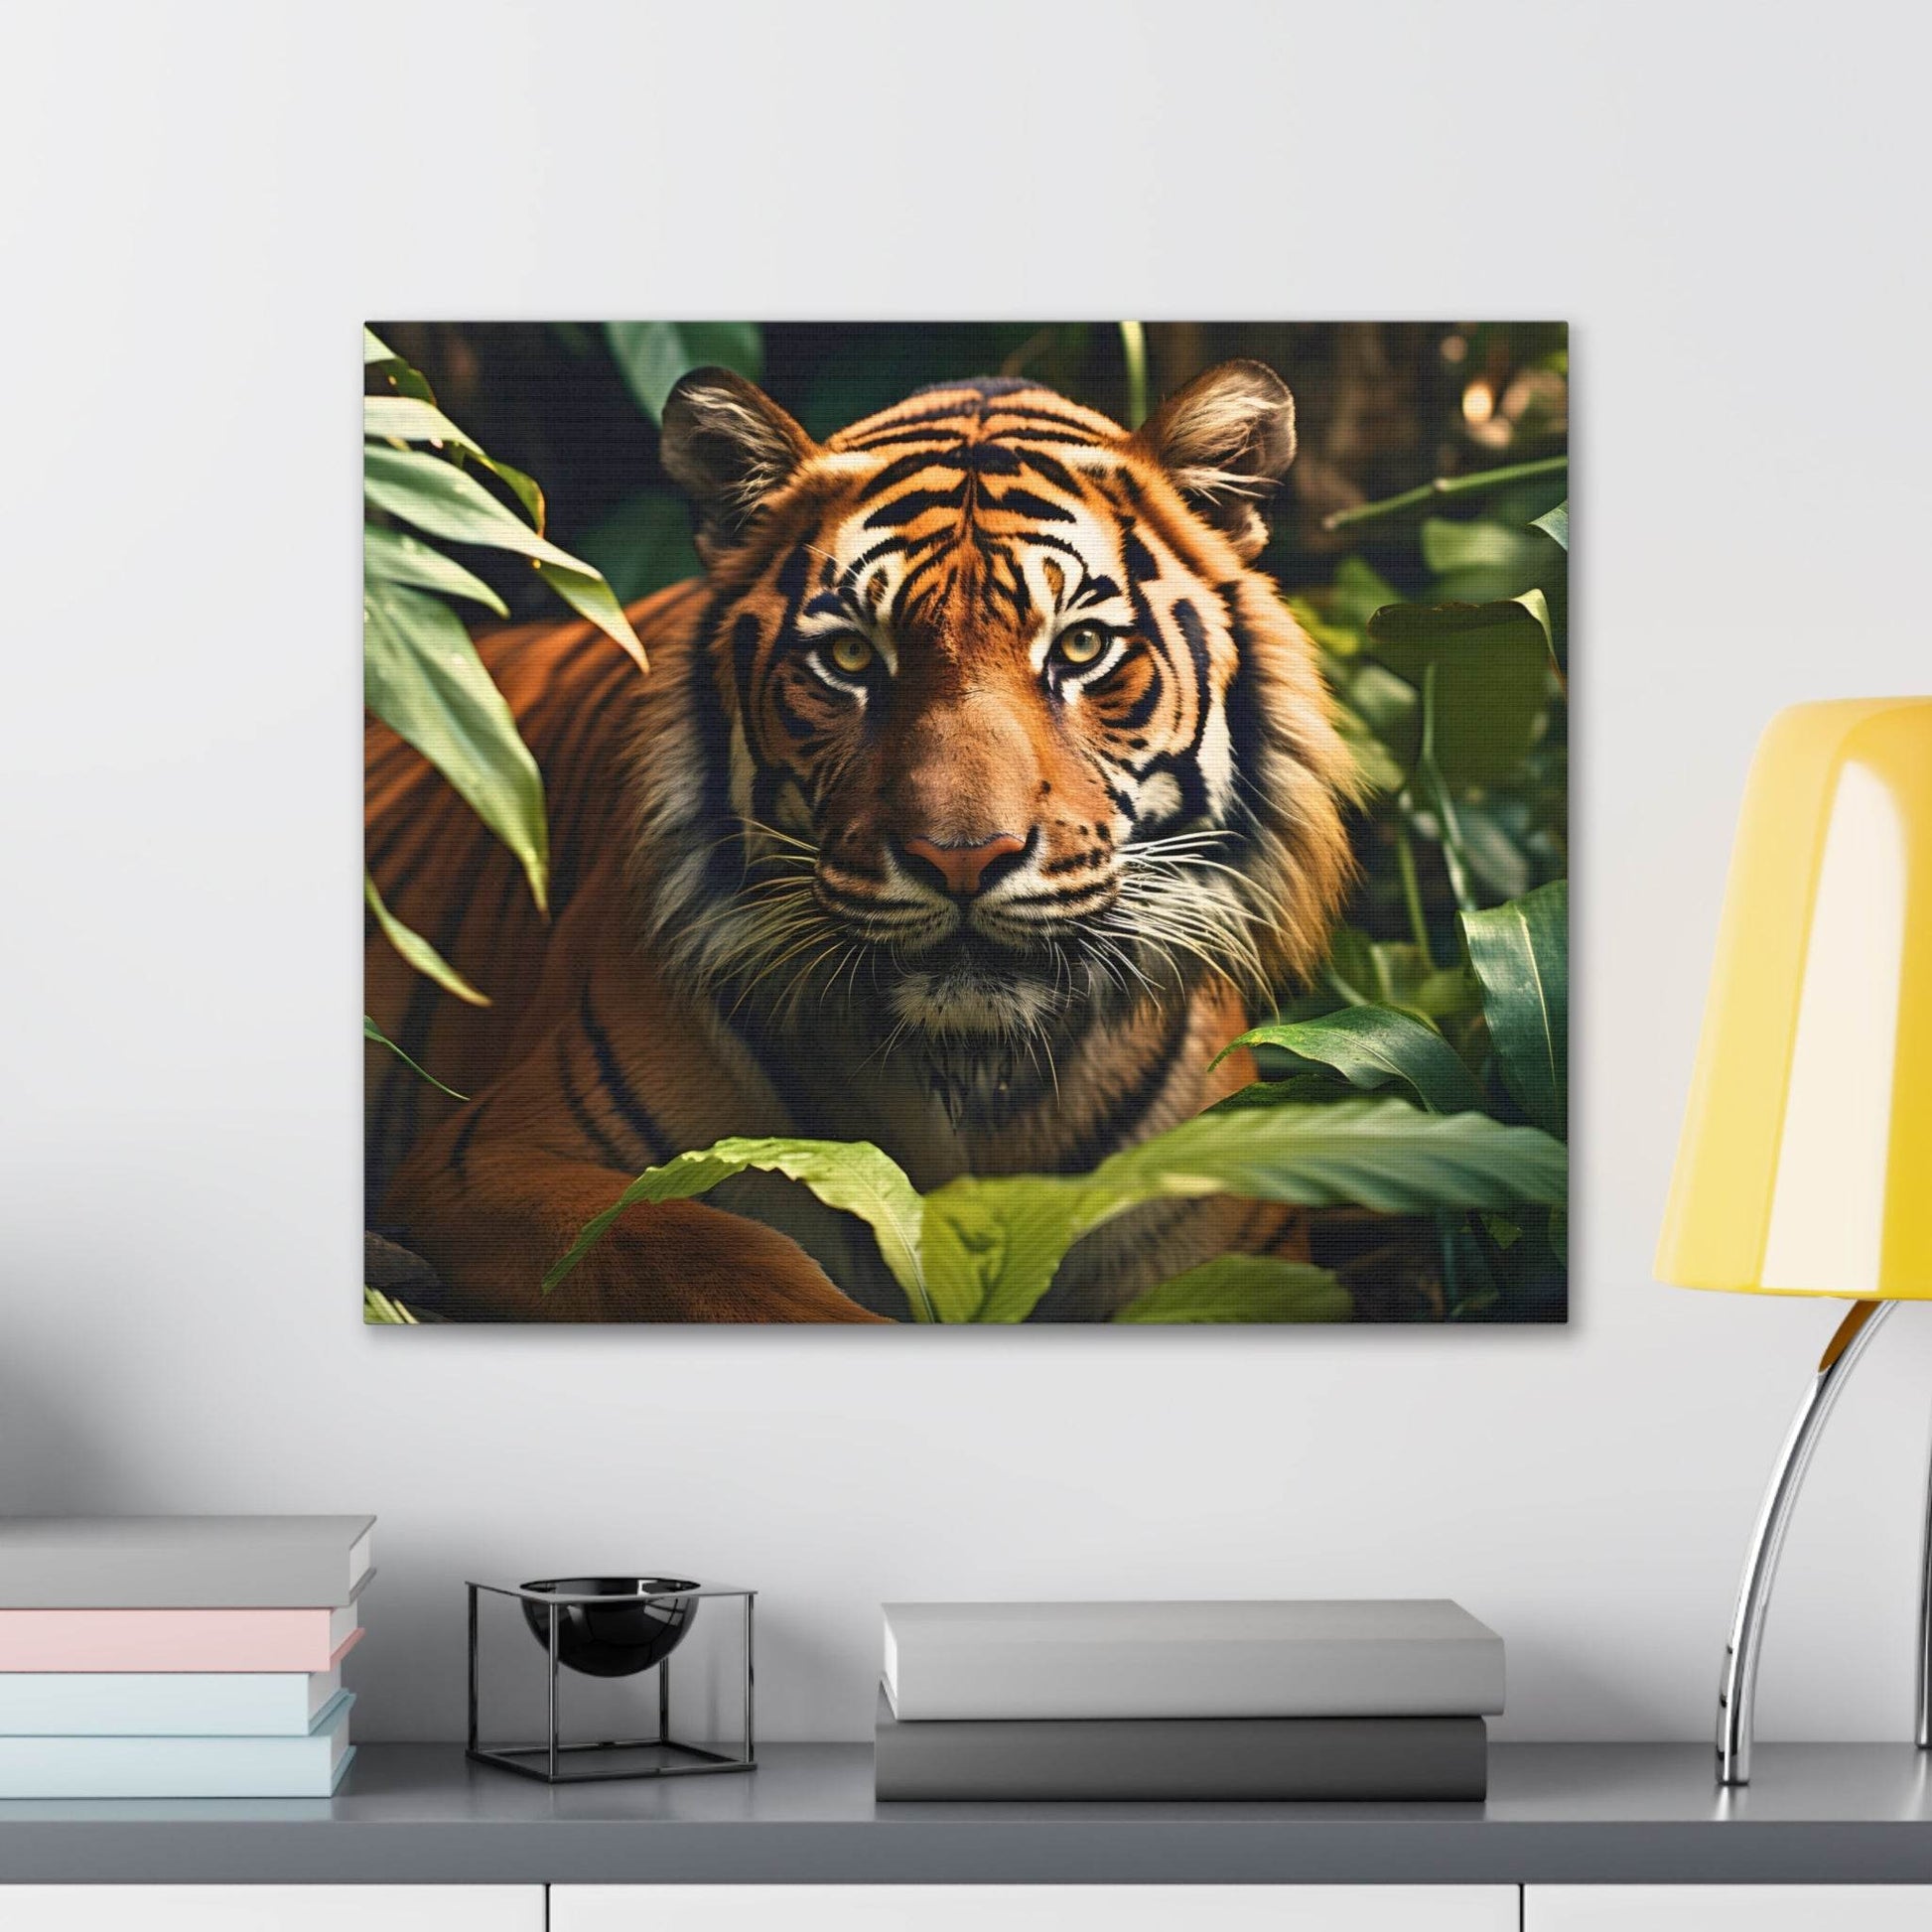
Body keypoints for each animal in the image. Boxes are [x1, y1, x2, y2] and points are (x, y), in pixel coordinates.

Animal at [365, 359, 1360, 1322]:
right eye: (848, 660)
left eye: (1080, 648)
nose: (962, 857)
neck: (969, 1076)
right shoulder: (484, 1161)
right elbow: (699, 1253)